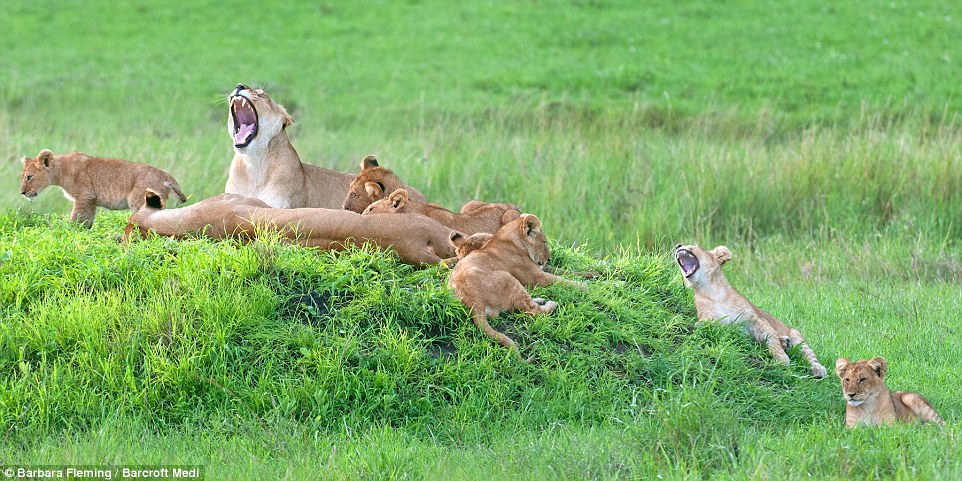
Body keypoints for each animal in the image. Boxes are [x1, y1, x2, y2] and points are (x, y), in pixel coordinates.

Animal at [20, 148, 186, 228]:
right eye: (23, 176)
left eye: (29, 177)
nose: (22, 192)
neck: (60, 170)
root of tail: (165, 175)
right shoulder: (90, 200)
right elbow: (87, 219)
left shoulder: (84, 195)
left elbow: (76, 217)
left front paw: (67, 230)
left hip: (139, 201)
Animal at [448, 214, 586, 359]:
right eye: (544, 242)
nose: (549, 259)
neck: (513, 240)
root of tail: (473, 302)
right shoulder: (536, 277)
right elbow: (561, 280)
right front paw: (583, 286)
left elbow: (565, 274)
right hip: (508, 278)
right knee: (533, 310)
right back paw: (552, 304)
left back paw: (540, 299)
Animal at [674, 244, 827, 377]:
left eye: (693, 246)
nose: (677, 245)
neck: (711, 290)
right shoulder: (711, 317)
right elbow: (704, 323)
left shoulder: (754, 319)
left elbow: (771, 338)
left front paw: (781, 358)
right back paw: (785, 343)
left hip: (797, 335)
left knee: (808, 354)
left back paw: (817, 369)